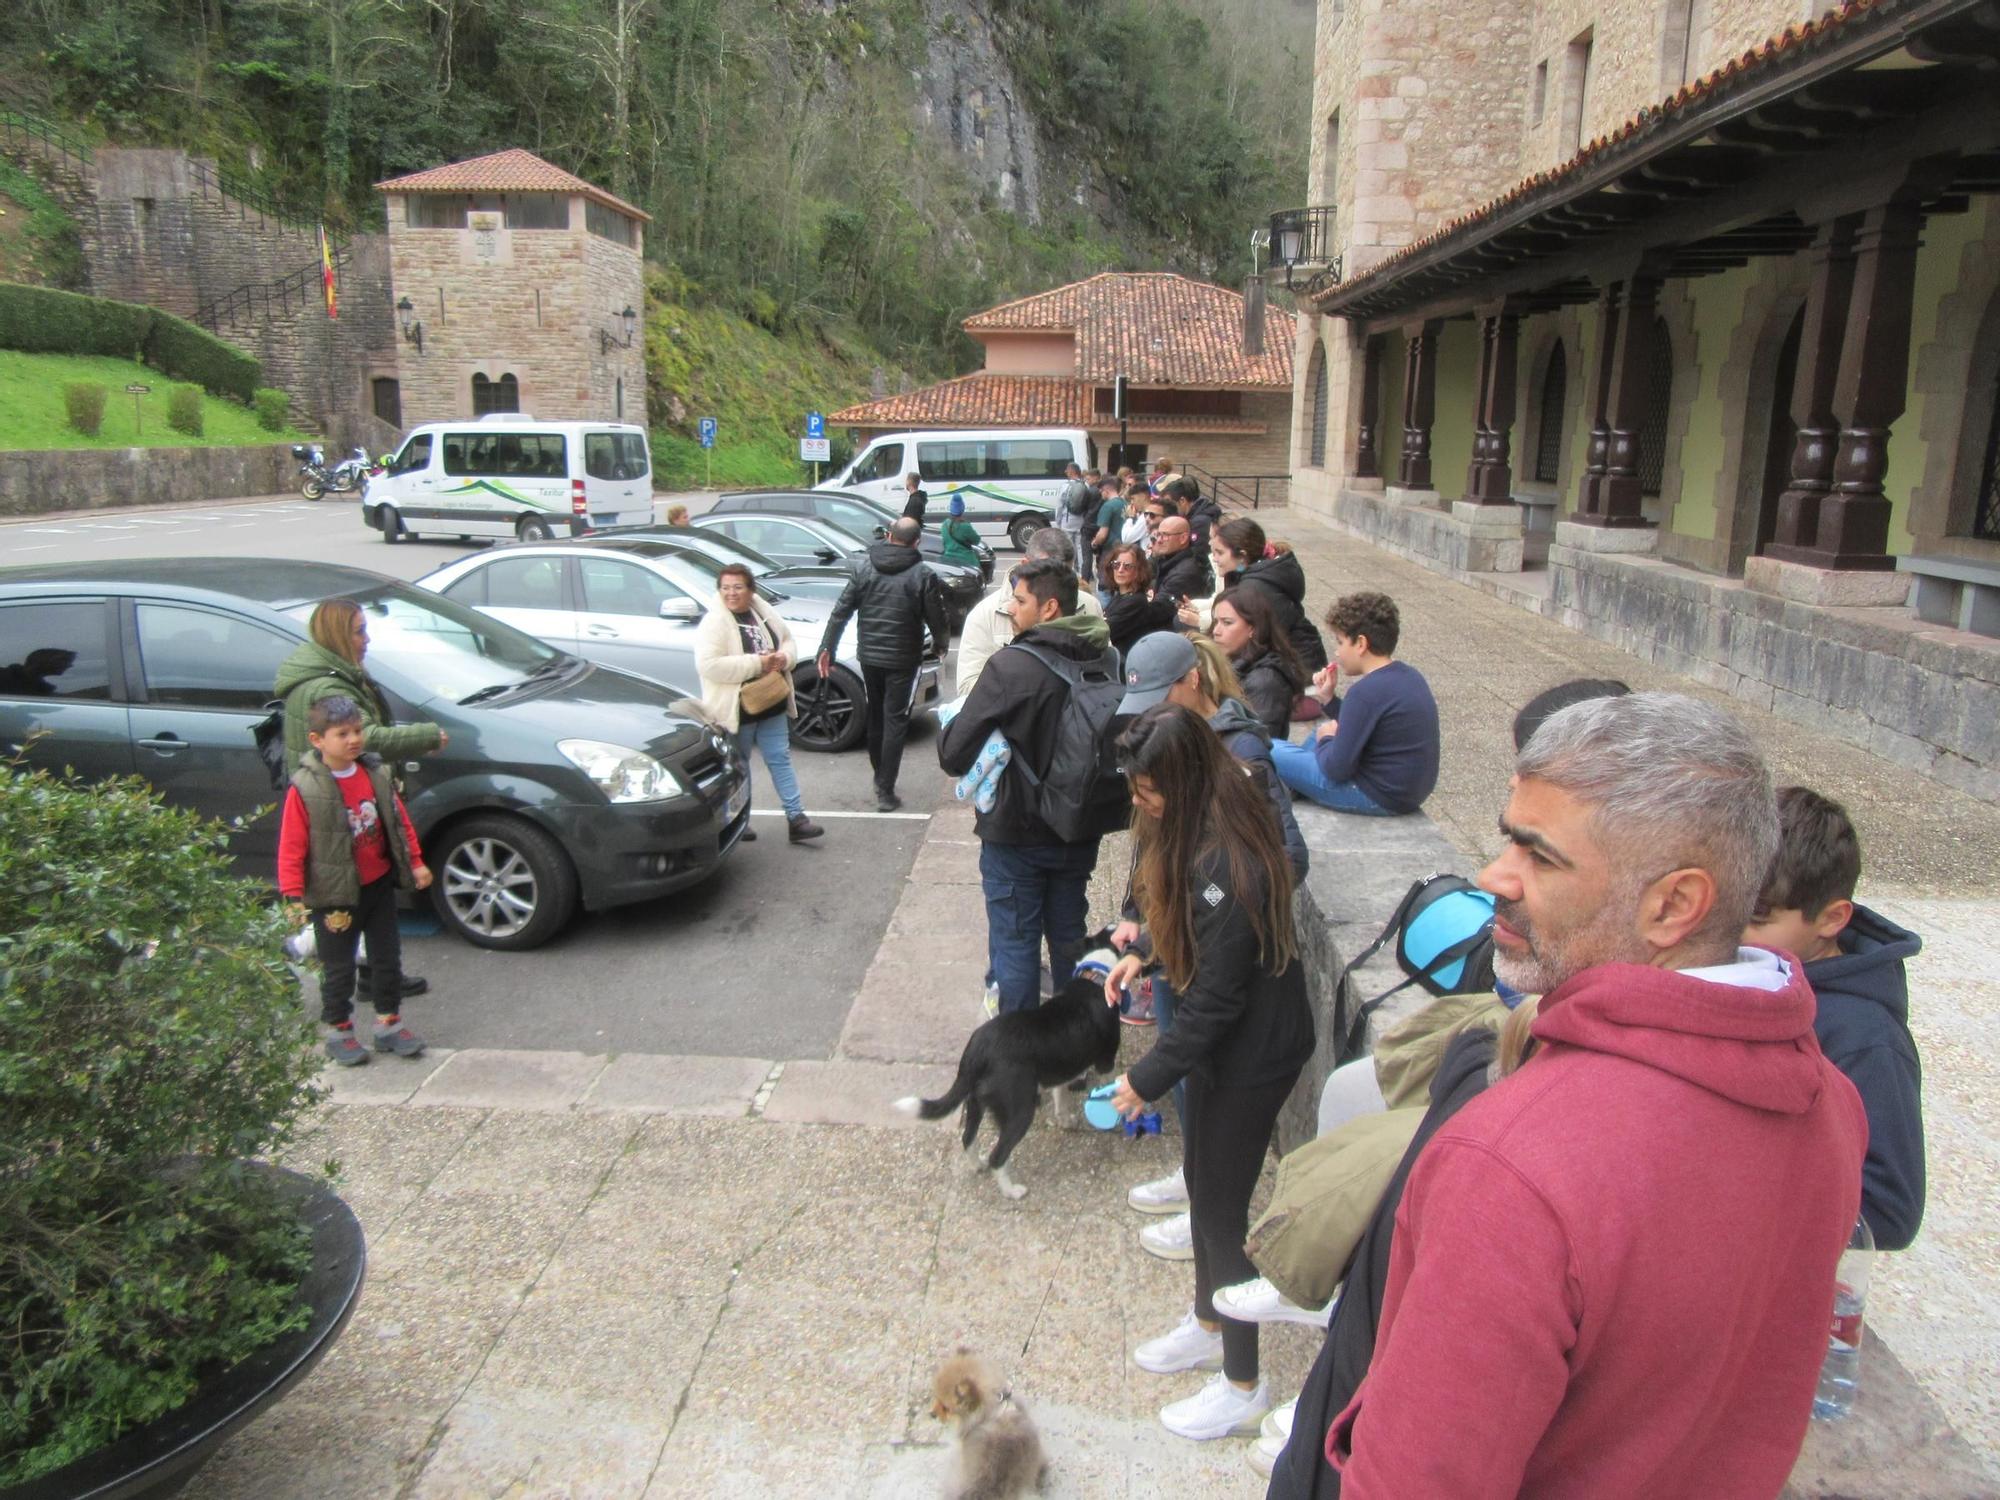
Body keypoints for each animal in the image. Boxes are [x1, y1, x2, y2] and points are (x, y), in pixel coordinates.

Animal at [904, 944, 1136, 1208]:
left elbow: (1061, 1097)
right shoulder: (1106, 1060)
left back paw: (977, 1165)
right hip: (1019, 1110)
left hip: (975, 1101)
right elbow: (1109, 1087)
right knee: (998, 1155)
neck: (1096, 977)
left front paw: (1065, 1120)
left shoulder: (1061, 1068)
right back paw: (1012, 1190)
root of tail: (978, 1049)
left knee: (967, 1137)